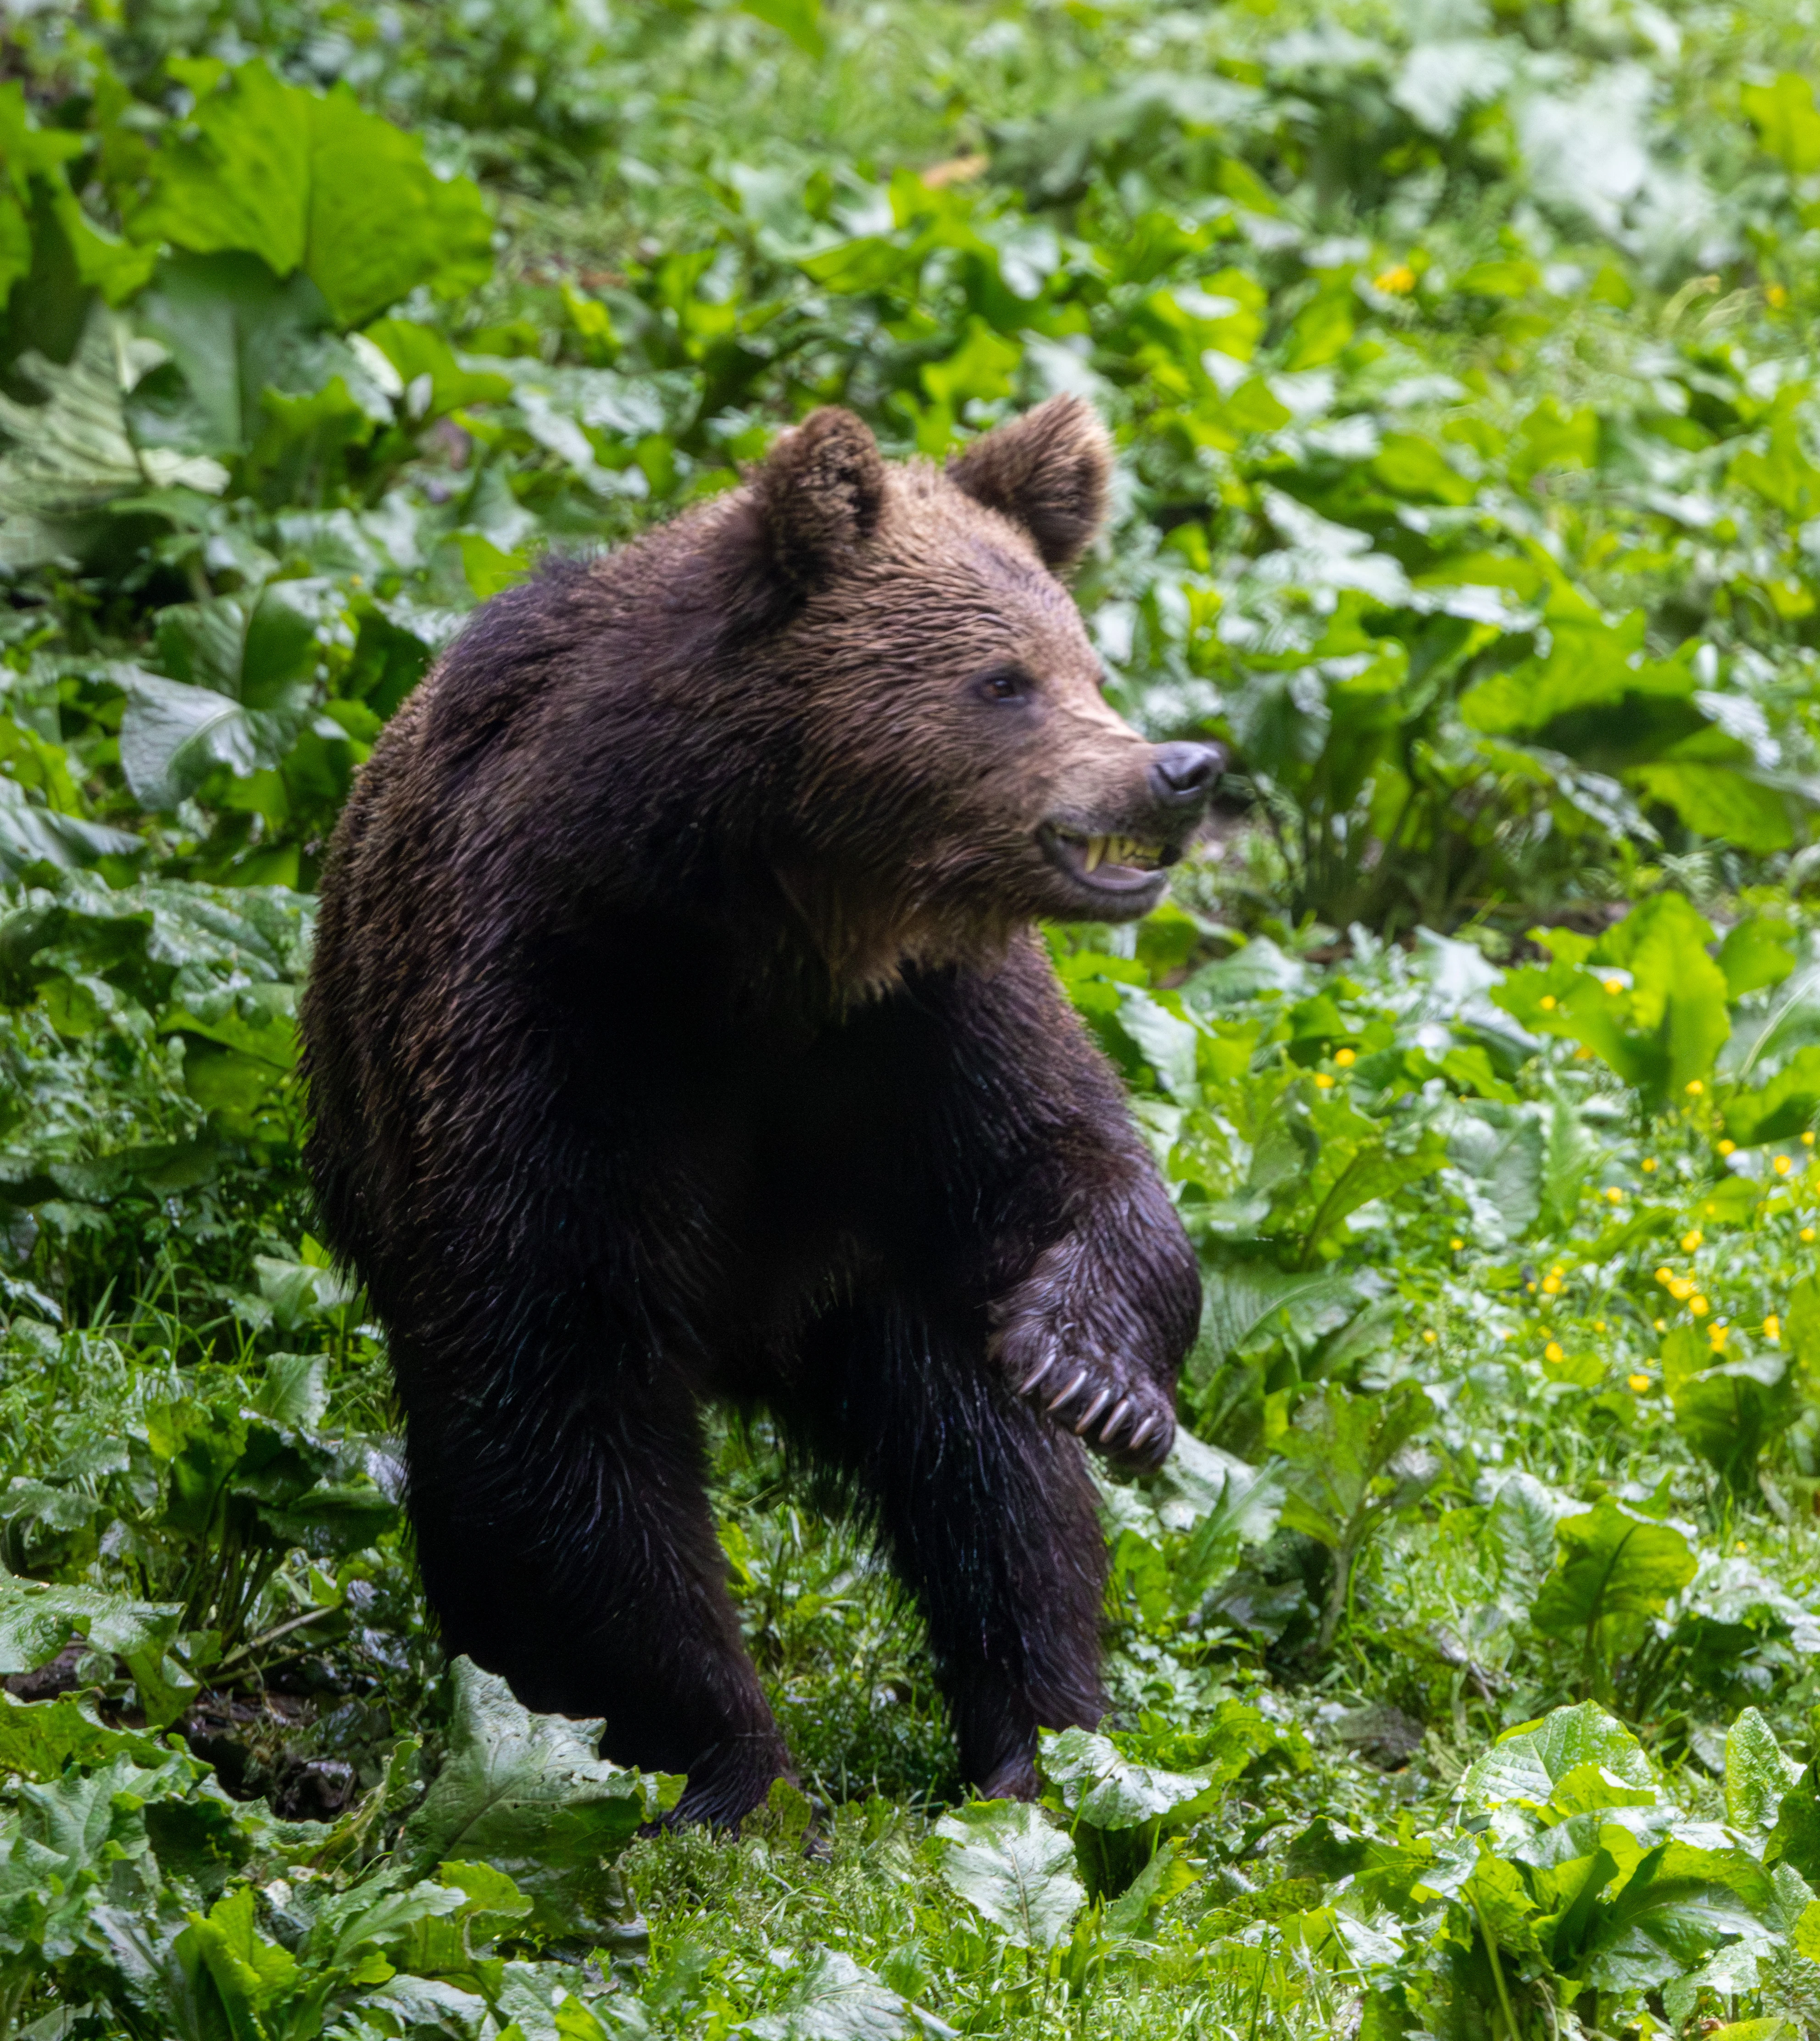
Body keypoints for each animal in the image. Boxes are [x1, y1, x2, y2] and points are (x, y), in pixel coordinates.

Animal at [300, 395, 1220, 1825]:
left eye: (1084, 659)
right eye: (1000, 680)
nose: (1177, 769)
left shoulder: (915, 1026)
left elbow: (1069, 1161)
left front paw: (1095, 1373)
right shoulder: (556, 1017)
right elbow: (555, 1397)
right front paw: (734, 1771)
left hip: (867, 1286)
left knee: (989, 1474)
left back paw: (1042, 1742)